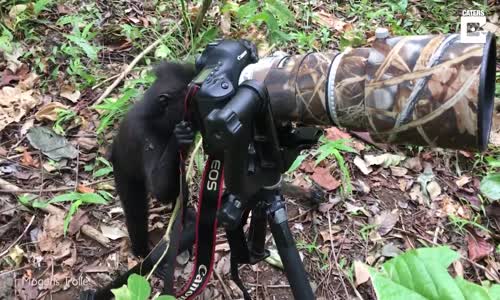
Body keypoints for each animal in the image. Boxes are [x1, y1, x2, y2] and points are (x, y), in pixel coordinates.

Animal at [111, 61, 195, 258]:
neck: (155, 117)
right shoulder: (144, 136)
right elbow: (159, 188)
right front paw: (178, 138)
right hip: (123, 172)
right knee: (135, 212)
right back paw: (141, 251)